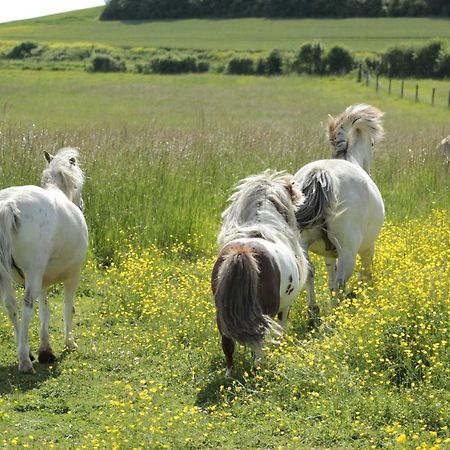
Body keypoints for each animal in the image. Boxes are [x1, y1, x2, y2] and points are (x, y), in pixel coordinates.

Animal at [0, 148, 87, 372]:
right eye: (77, 185)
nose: (81, 204)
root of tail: (9, 205)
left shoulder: (44, 280)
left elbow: (44, 310)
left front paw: (45, 349)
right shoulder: (73, 275)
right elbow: (68, 308)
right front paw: (69, 343)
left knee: (10, 305)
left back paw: (26, 352)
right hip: (34, 272)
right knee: (26, 305)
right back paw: (24, 360)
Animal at [212, 171, 312, 378]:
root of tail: (242, 252)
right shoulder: (285, 307)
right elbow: (282, 328)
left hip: (222, 315)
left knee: (227, 344)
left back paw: (229, 375)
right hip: (266, 313)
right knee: (259, 344)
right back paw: (258, 369)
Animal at [294, 105, 384, 300]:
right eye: (372, 144)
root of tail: (320, 174)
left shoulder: (328, 253)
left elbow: (329, 275)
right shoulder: (368, 248)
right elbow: (366, 274)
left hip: (302, 244)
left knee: (310, 273)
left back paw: (314, 308)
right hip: (348, 252)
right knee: (340, 283)